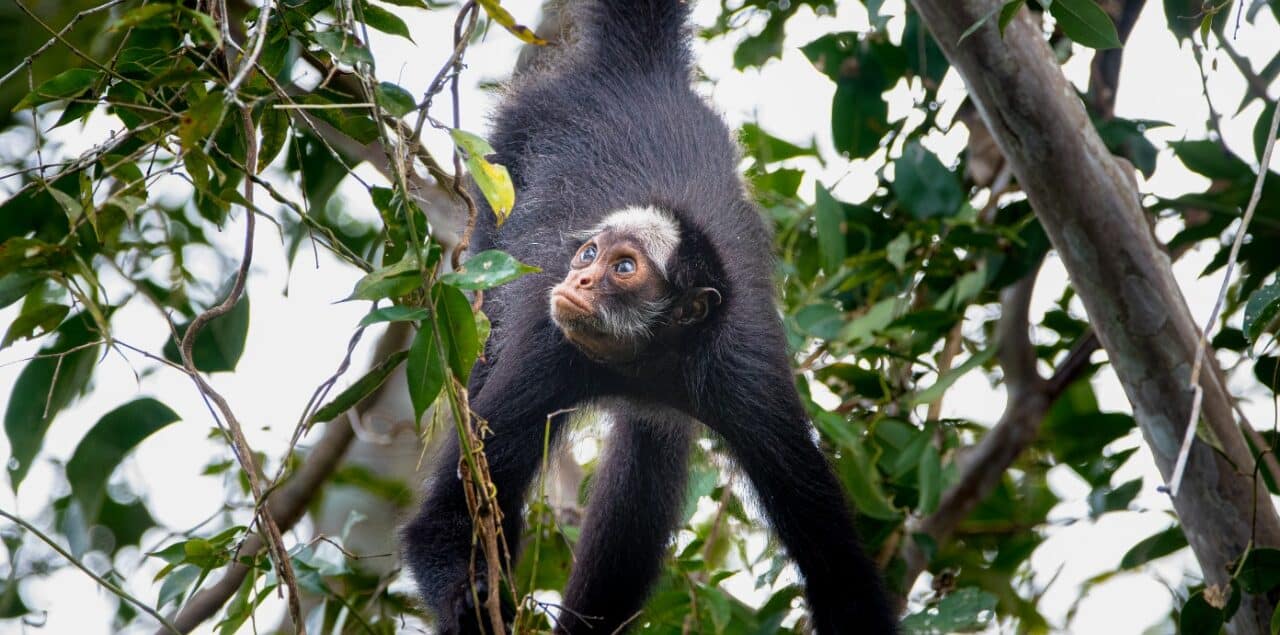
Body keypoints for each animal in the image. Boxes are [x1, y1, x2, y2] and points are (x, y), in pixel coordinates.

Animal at [404, 2, 896, 632]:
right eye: (589, 255)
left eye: (623, 268)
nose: (579, 281)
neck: (648, 361)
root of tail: (642, 70)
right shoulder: (551, 346)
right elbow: (439, 524)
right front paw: (473, 603)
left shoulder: (748, 382)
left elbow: (843, 582)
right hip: (505, 161)